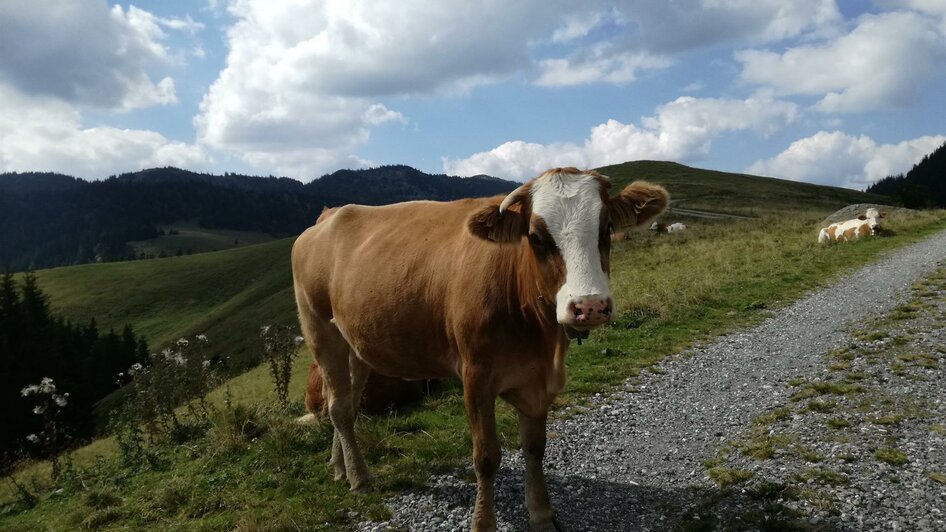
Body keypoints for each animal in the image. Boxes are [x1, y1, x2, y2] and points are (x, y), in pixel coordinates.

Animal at [292, 167, 668, 532]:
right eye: (536, 237)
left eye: (607, 228)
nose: (589, 306)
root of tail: (329, 215)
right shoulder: (475, 375)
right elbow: (486, 457)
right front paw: (483, 523)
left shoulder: (537, 379)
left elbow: (535, 448)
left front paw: (542, 515)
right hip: (319, 329)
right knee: (339, 407)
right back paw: (359, 478)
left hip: (356, 344)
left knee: (345, 402)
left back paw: (340, 466)